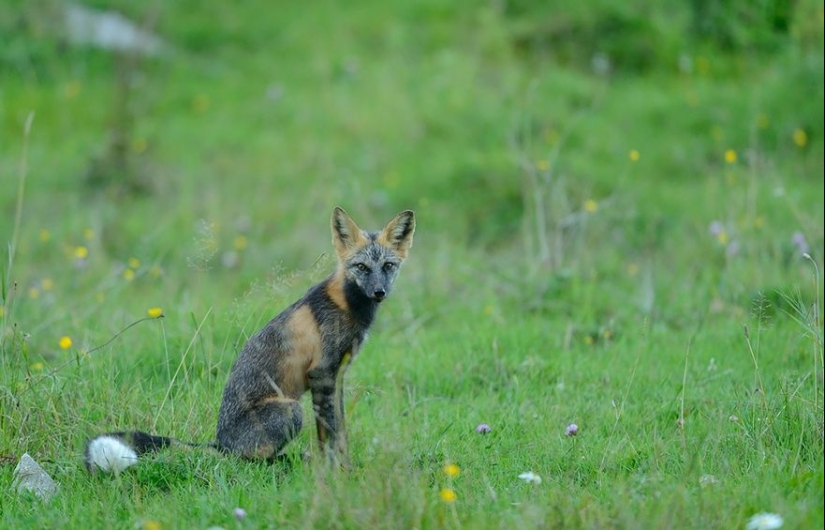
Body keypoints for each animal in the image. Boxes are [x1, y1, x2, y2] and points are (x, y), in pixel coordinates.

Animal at [84, 206, 415, 473]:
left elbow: (340, 430)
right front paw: (338, 472)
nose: (379, 292)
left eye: (388, 266)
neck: (346, 305)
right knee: (250, 461)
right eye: (361, 267)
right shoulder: (322, 374)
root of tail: (221, 443)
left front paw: (343, 468)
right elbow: (332, 436)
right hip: (291, 411)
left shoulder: (337, 376)